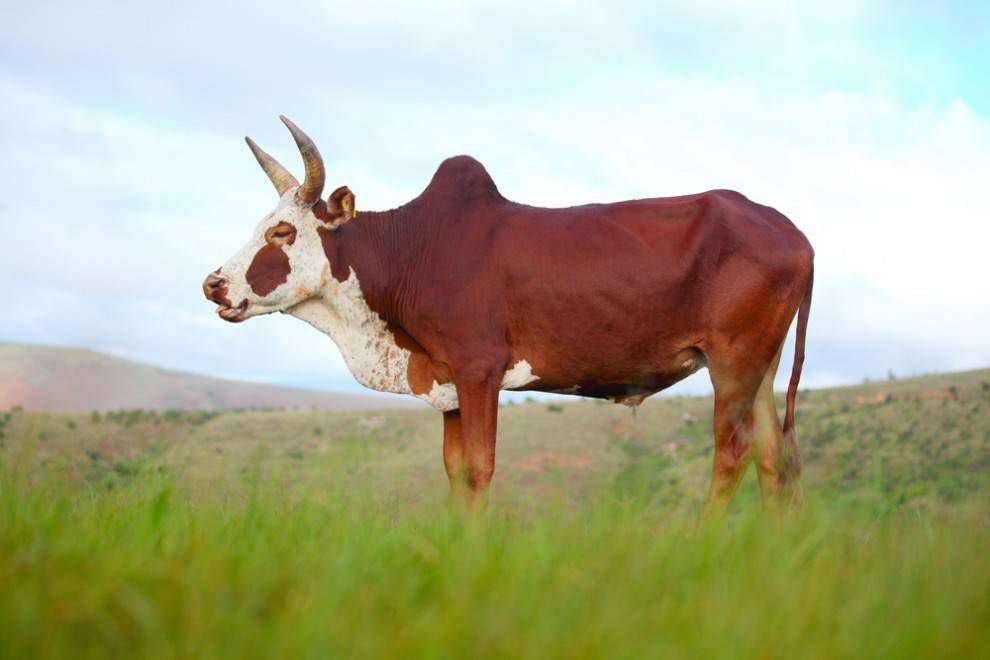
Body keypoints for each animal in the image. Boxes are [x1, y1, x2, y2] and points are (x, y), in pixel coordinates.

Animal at [203, 117, 814, 515]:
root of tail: (792, 232)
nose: (213, 284)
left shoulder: (480, 370)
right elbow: (456, 473)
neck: (413, 252)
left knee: (732, 454)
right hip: (761, 367)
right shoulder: (448, 382)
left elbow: (479, 469)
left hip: (733, 360)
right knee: (776, 462)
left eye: (283, 231)